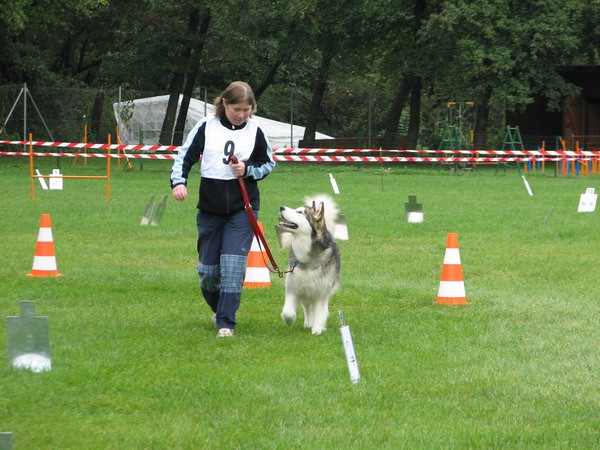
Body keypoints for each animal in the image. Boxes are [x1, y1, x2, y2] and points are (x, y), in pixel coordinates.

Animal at [278, 193, 340, 334]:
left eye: (300, 212)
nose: (281, 207)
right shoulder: (293, 288)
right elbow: (288, 312)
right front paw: (289, 320)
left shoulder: (322, 292)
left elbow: (320, 312)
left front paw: (317, 329)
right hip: (306, 291)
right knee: (307, 308)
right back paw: (308, 322)